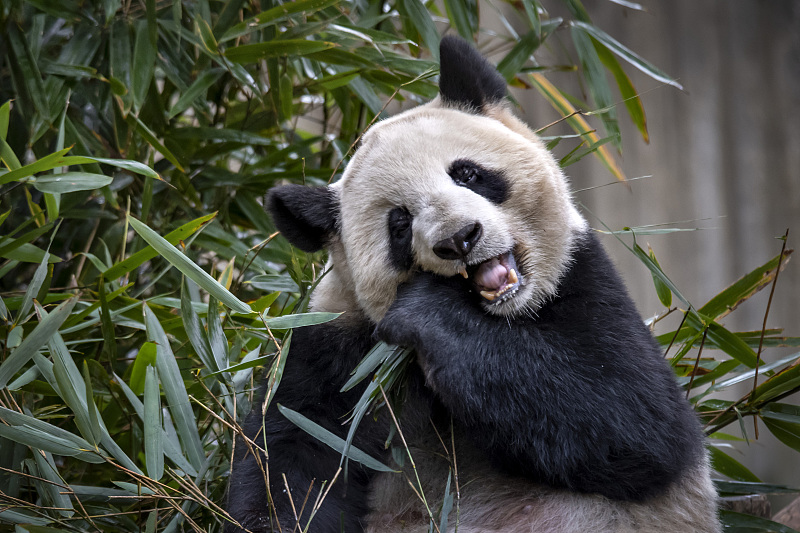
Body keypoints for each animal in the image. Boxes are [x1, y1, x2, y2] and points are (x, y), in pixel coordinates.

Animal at [226, 36, 721, 533]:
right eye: (399, 223)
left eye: (467, 174)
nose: (459, 239)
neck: (497, 321)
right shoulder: (335, 347)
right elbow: (296, 455)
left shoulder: (586, 282)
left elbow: (634, 422)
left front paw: (427, 311)